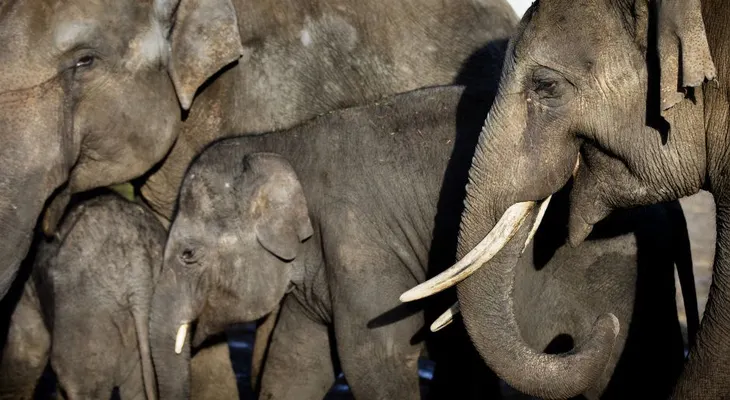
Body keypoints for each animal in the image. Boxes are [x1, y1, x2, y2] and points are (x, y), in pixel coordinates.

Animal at [153, 84, 696, 400]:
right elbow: (296, 363)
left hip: (606, 265)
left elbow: (376, 360)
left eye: (188, 255)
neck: (282, 140)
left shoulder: (358, 240)